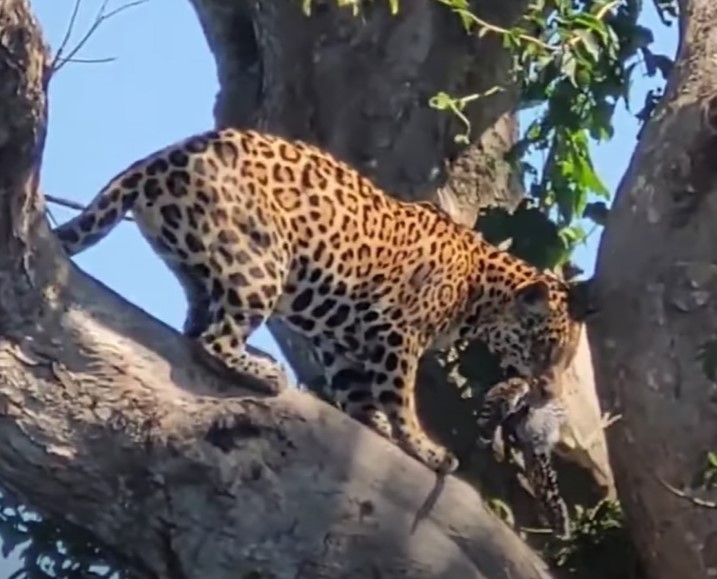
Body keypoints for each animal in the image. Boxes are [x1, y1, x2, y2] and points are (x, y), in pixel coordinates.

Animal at [52, 127, 589, 476]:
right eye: (546, 348)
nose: (547, 391)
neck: (480, 286)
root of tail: (160, 158)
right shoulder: (401, 336)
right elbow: (401, 399)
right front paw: (425, 449)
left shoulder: (344, 337)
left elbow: (357, 391)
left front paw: (374, 423)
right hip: (259, 262)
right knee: (213, 339)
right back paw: (265, 372)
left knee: (196, 325)